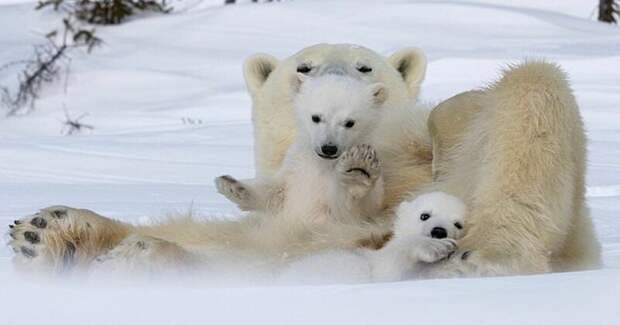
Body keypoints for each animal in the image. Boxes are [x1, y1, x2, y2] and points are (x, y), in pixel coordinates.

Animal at [6, 42, 600, 276]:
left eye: (365, 67)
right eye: (304, 67)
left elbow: (453, 121)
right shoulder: (281, 203)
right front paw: (45, 232)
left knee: (535, 87)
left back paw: (486, 255)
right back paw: (54, 236)